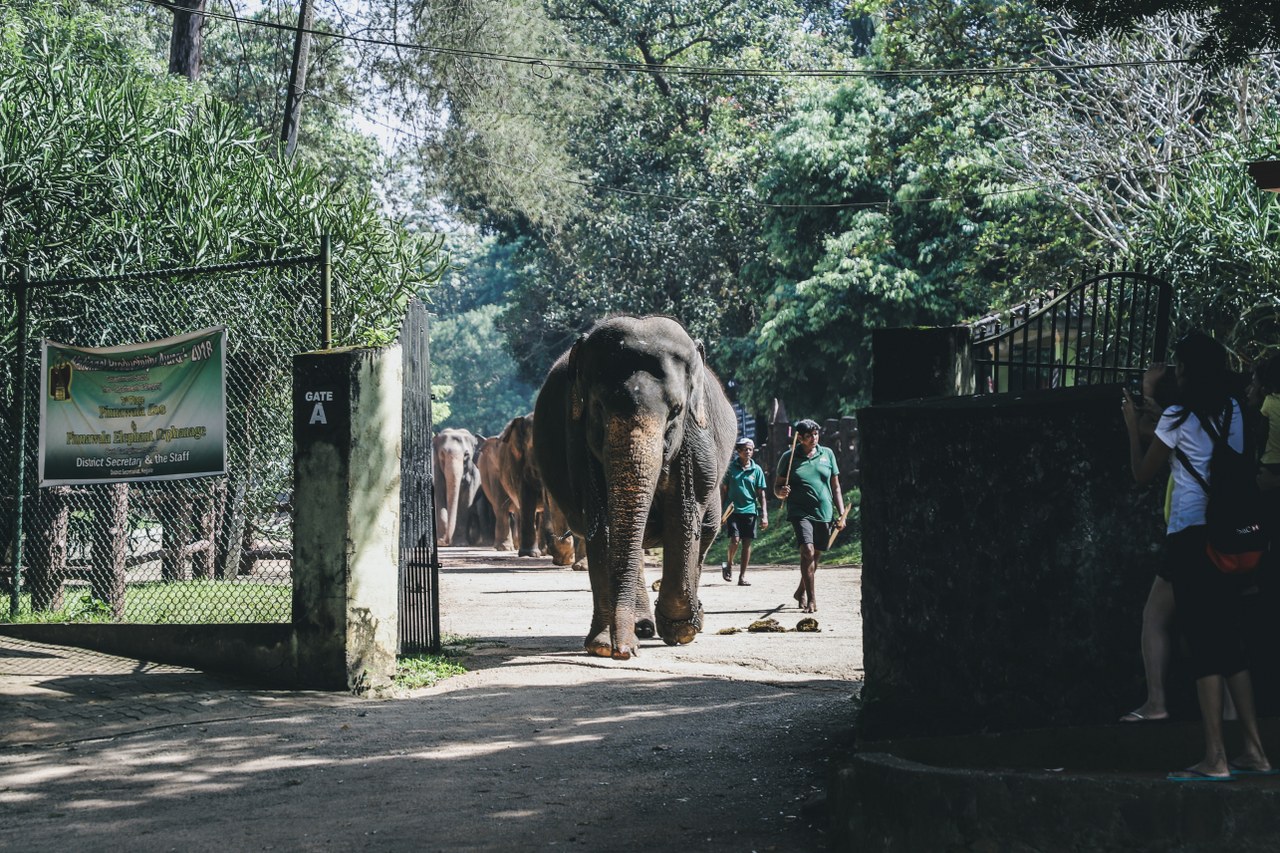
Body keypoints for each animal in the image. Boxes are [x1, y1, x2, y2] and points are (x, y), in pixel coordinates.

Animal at [529, 312, 737, 655]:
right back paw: (640, 627)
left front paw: (680, 631)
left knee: (706, 527)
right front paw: (602, 645)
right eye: (598, 408)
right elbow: (600, 522)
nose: (624, 652)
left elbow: (683, 515)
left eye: (676, 412)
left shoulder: (696, 442)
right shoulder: (580, 447)